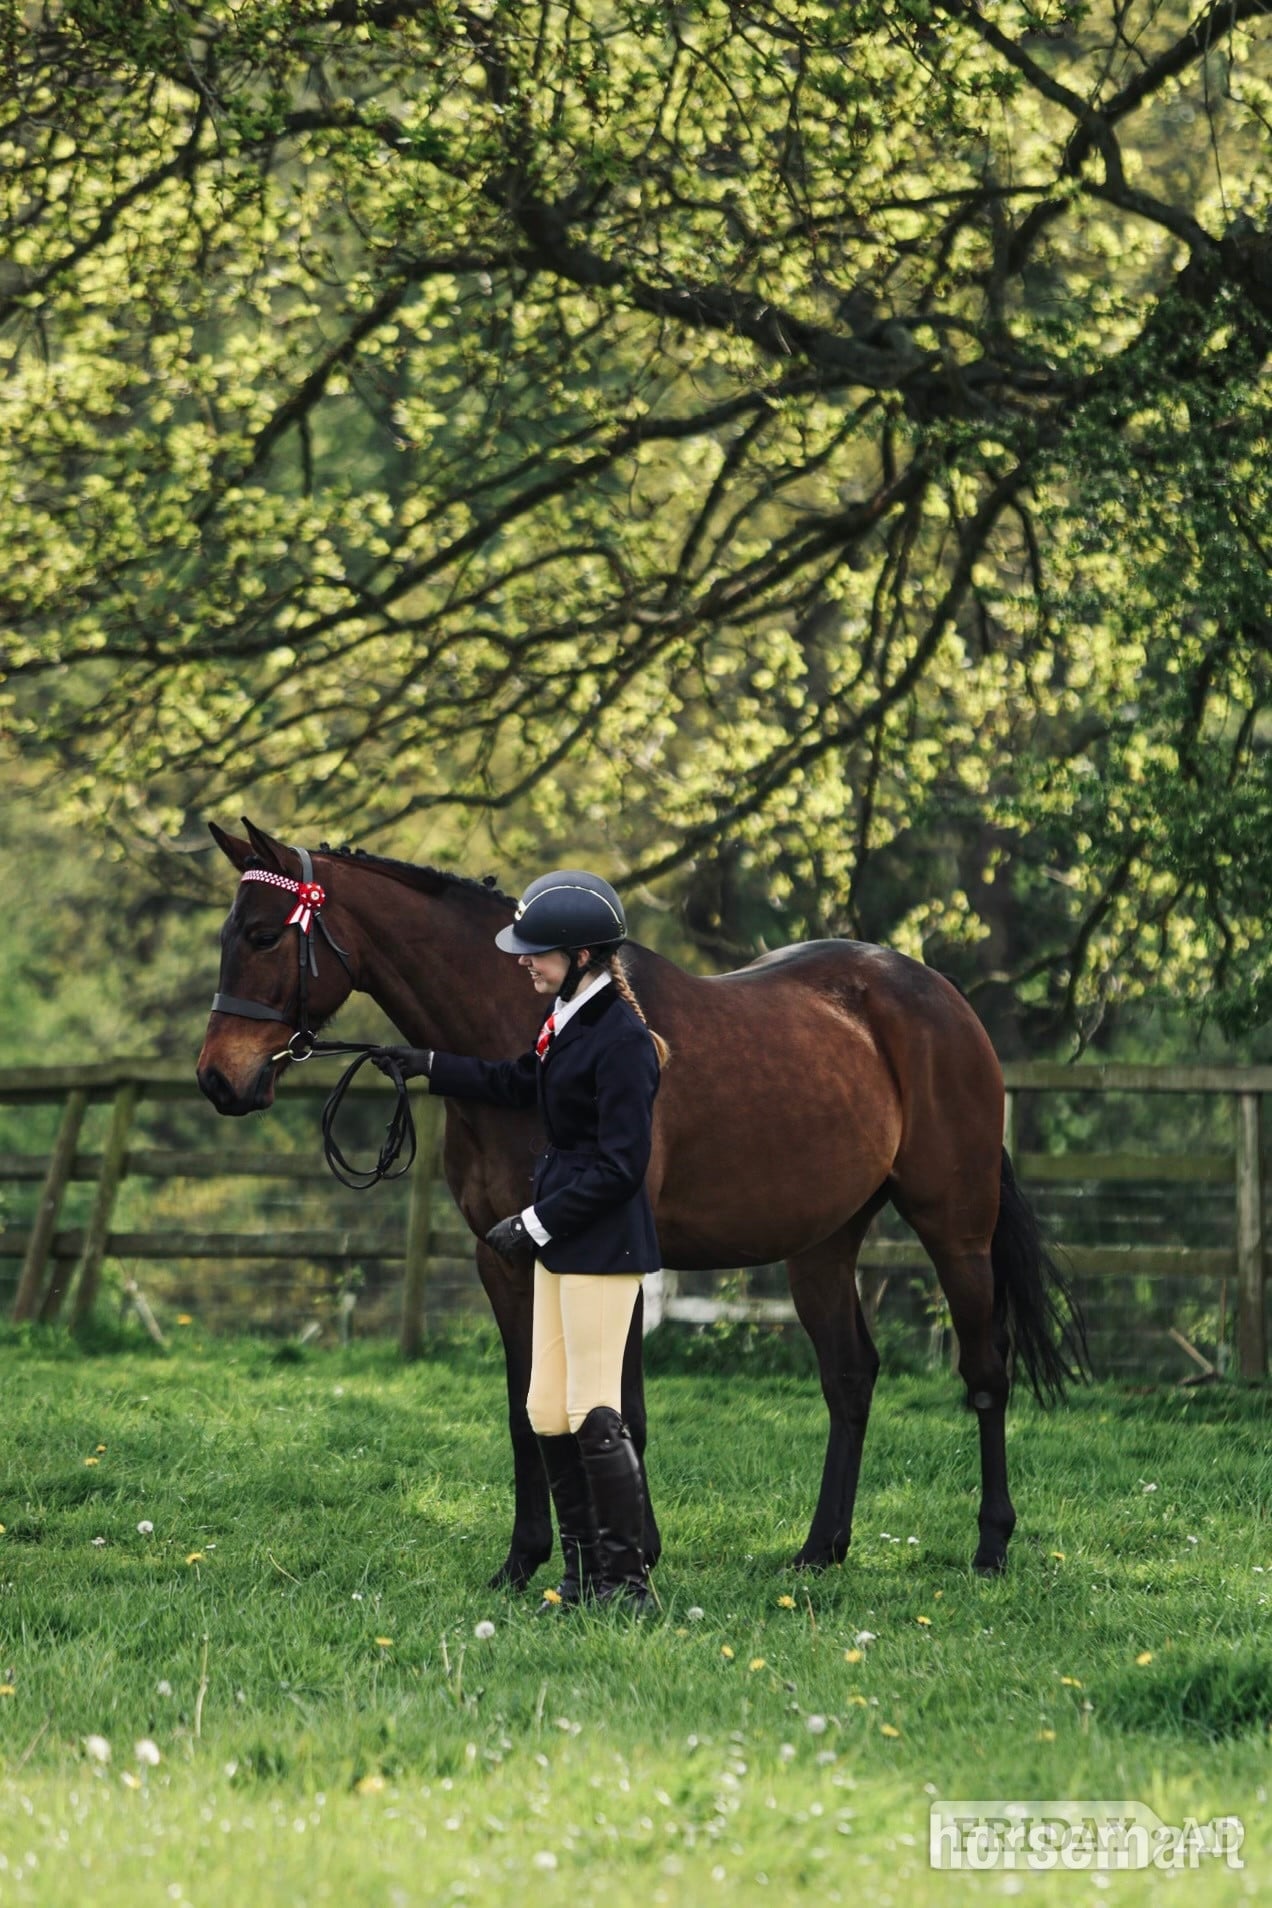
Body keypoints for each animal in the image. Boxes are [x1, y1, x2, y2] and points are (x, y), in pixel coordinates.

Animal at [197, 819, 1084, 1587]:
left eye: (265, 936)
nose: (217, 1080)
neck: (531, 1033)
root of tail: (939, 996)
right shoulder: (504, 1257)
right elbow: (529, 1410)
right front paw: (527, 1561)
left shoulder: (606, 1254)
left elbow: (616, 1406)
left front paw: (631, 1558)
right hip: (822, 1245)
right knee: (850, 1377)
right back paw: (820, 1549)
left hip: (955, 1227)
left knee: (985, 1371)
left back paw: (991, 1546)